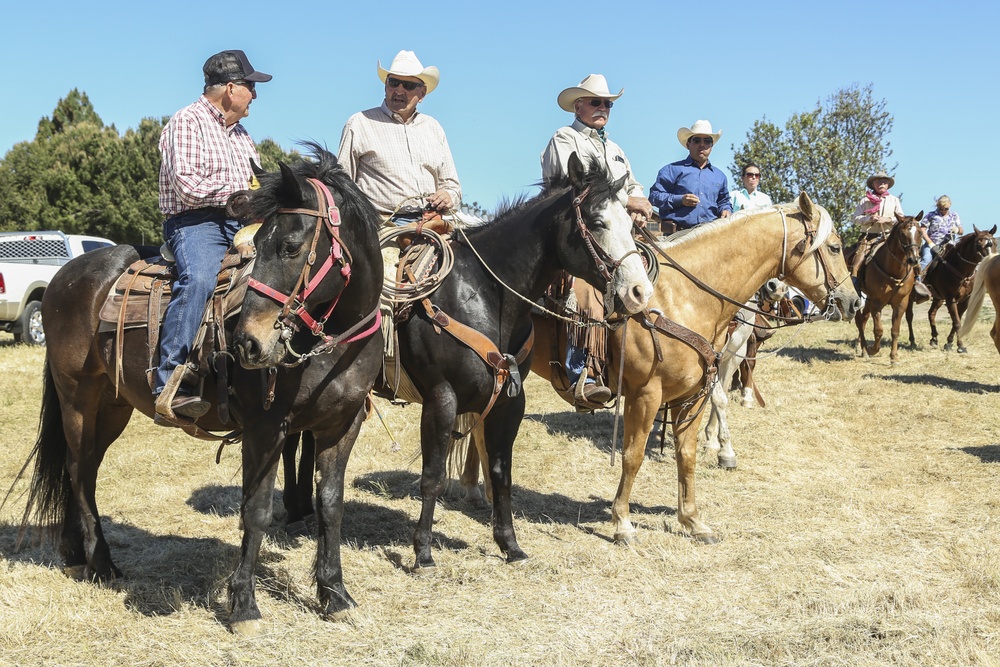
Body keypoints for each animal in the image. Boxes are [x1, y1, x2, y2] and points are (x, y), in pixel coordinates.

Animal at [19, 147, 386, 636]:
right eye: (262, 245)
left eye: (290, 246)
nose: (249, 343)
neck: (334, 343)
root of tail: (63, 277)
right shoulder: (266, 429)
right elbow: (256, 510)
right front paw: (244, 605)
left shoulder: (341, 427)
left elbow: (330, 506)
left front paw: (336, 595)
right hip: (78, 399)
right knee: (78, 472)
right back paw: (102, 563)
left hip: (113, 407)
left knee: (84, 471)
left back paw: (77, 555)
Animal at [386, 153, 652, 568]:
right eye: (596, 222)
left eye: (630, 223)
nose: (639, 292)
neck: (480, 293)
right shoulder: (441, 398)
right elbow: (432, 475)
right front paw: (424, 552)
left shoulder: (510, 400)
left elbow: (500, 471)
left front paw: (510, 545)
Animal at [856, 211, 924, 362]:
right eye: (902, 233)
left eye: (920, 233)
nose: (914, 259)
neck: (894, 272)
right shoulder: (876, 302)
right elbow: (878, 330)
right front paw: (873, 349)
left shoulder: (901, 302)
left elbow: (895, 330)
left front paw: (894, 357)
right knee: (860, 320)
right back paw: (863, 349)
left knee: (863, 318)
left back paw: (862, 348)